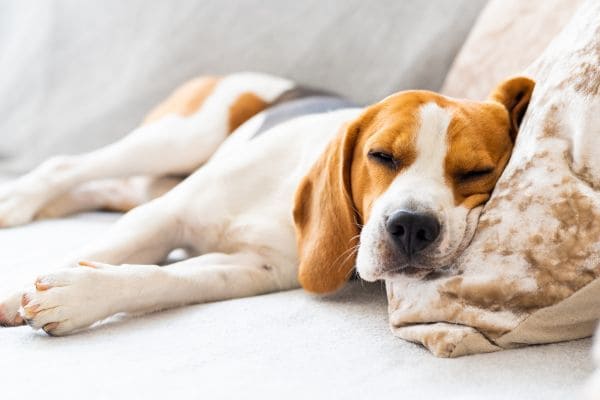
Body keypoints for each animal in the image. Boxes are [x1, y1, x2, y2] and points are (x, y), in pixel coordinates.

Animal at [0, 71, 532, 334]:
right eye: (381, 155)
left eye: (476, 173)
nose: (413, 227)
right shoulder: (163, 216)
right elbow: (101, 250)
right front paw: (17, 292)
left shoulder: (256, 268)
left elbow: (164, 278)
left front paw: (81, 294)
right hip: (180, 137)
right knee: (65, 166)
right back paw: (18, 202)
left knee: (98, 188)